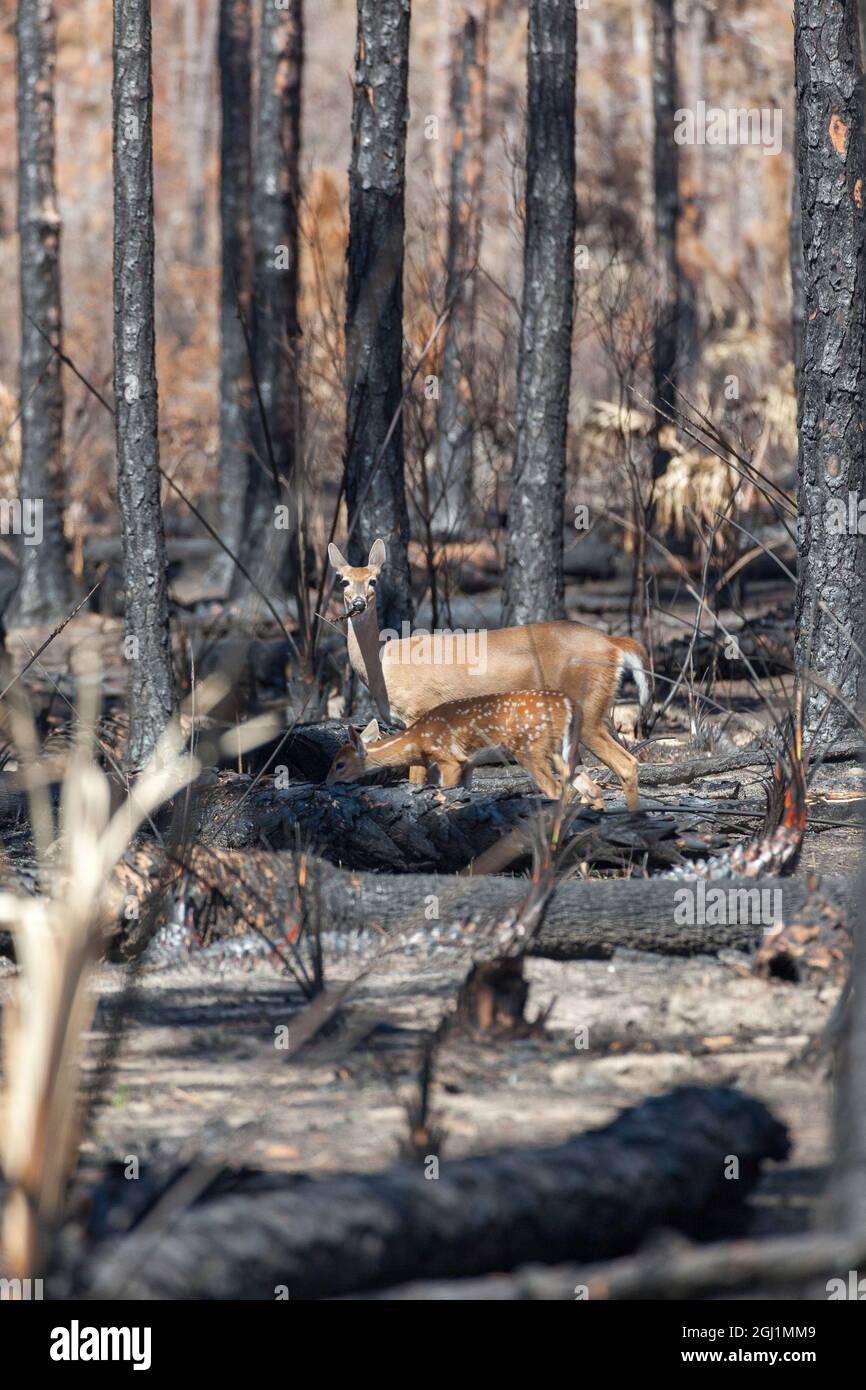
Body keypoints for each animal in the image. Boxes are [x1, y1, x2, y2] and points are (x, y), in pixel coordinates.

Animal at [330, 689, 589, 800]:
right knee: (586, 786)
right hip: (563, 750)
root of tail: (570, 705)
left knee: (556, 790)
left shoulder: (449, 759)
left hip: (531, 748)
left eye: (339, 764)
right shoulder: (467, 763)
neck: (417, 740)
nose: (327, 782)